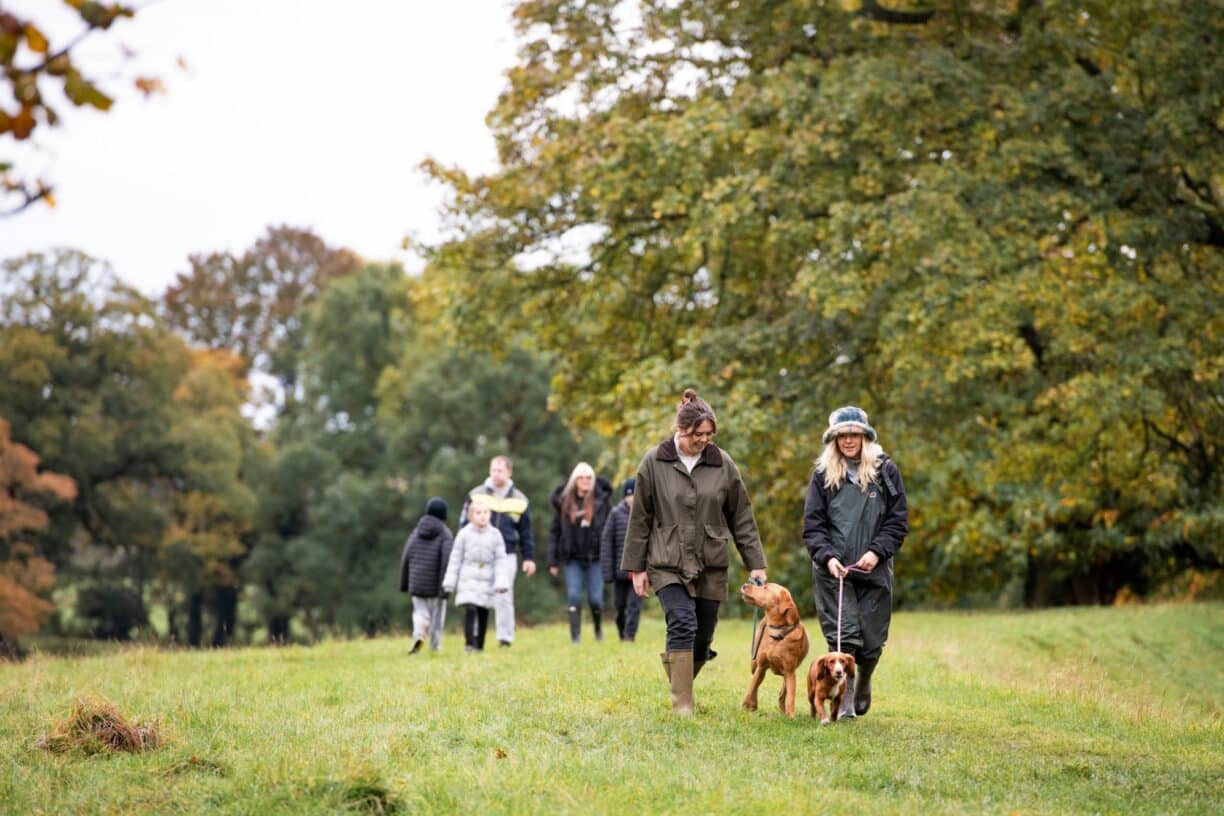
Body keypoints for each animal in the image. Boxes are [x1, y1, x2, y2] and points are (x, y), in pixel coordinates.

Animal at [739, 584, 807, 719]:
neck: (777, 635)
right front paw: (743, 708)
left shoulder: (790, 672)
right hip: (754, 664)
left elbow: (790, 697)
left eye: (765, 587)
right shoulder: (761, 666)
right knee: (756, 685)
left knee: (782, 694)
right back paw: (753, 705)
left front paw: (791, 717)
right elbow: (750, 689)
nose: (744, 585)